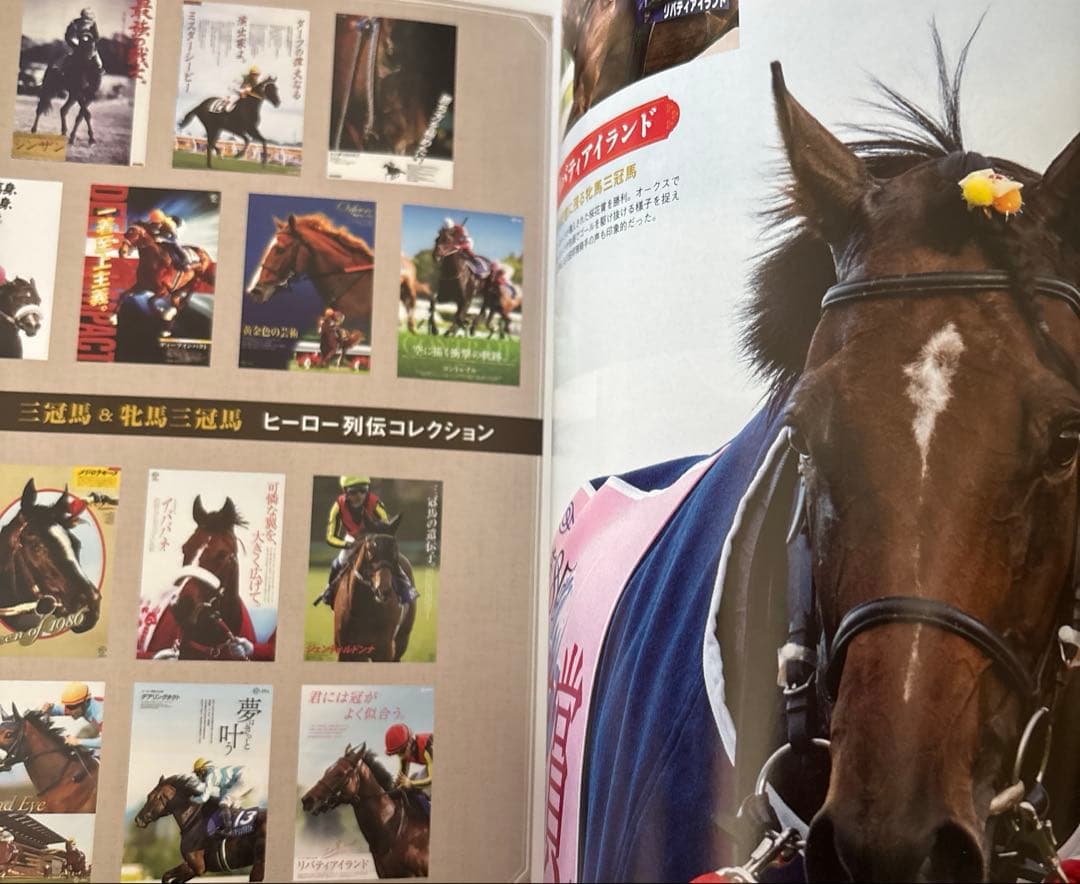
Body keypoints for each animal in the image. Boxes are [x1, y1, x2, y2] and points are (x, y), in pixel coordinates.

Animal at [134, 774, 267, 882]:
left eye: (150, 797)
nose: (138, 819)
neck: (195, 821)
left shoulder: (197, 867)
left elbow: (168, 877)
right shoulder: (195, 867)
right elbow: (166, 876)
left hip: (259, 865)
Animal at [331, 530, 416, 662]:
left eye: (394, 551)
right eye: (370, 549)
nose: (383, 589)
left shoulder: (384, 652)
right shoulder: (345, 651)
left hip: (402, 638)